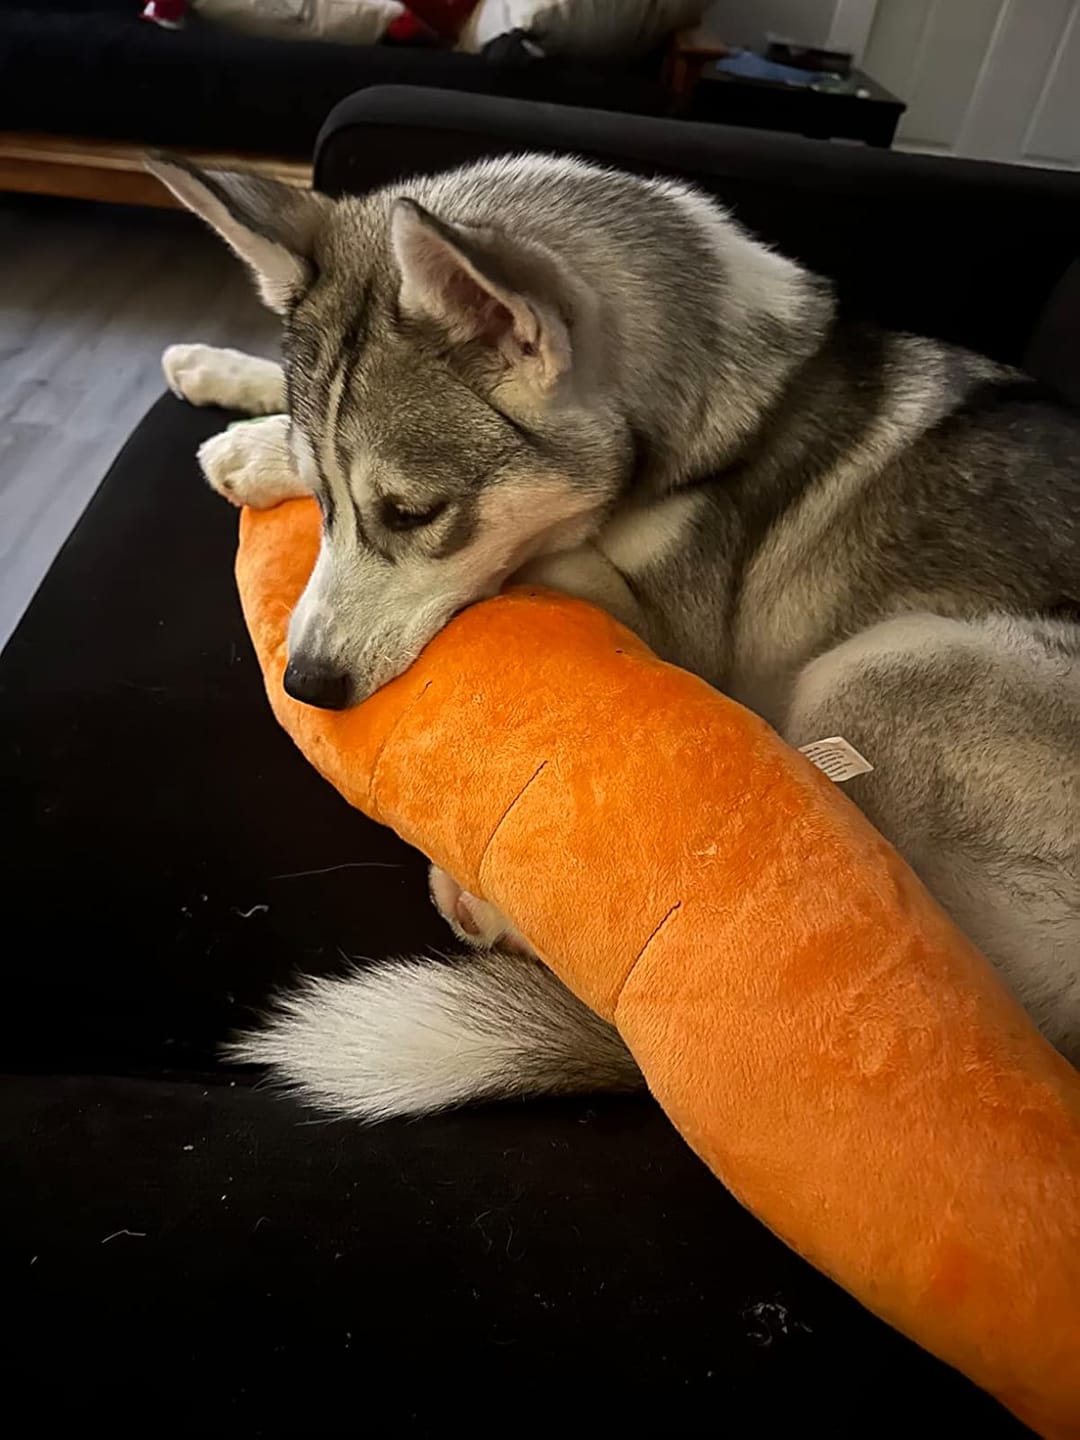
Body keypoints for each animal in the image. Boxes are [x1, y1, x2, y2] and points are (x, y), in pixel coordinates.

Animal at [146, 149, 1080, 1111]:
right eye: (332, 508)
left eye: (413, 513)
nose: (308, 684)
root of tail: (1043, 1030)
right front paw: (229, 377)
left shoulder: (667, 627)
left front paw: (252, 450)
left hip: (879, 663)